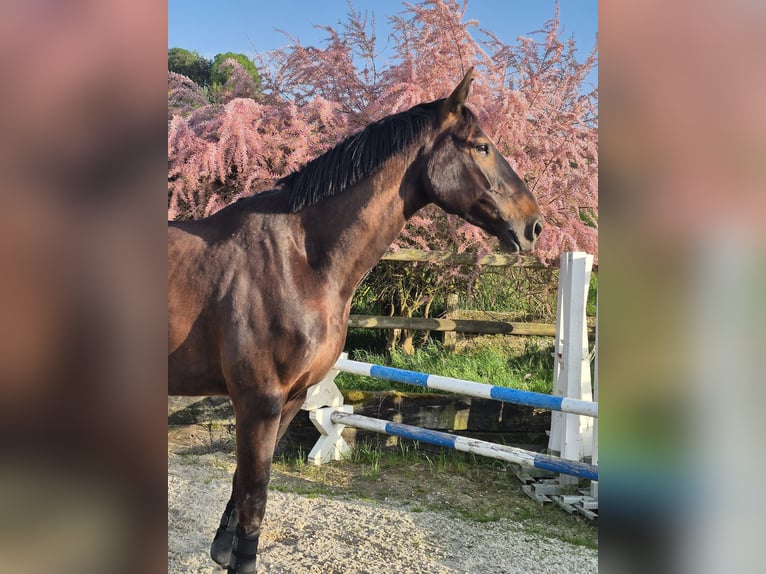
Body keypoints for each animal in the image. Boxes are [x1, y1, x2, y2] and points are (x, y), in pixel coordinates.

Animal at [168, 68, 543, 573]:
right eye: (481, 146)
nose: (533, 225)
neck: (298, 258)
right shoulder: (258, 401)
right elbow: (254, 495)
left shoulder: (290, 400)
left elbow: (244, 487)